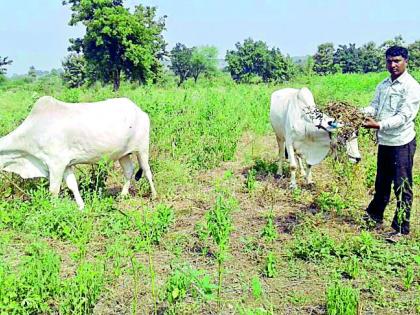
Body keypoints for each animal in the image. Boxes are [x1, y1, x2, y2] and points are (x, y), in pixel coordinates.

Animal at [0, 97, 157, 210]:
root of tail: (139, 111)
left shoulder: (56, 164)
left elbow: (53, 191)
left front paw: (54, 209)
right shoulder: (66, 165)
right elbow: (72, 185)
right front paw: (81, 206)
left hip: (142, 148)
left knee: (147, 171)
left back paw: (154, 196)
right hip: (123, 154)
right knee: (129, 171)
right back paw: (123, 195)